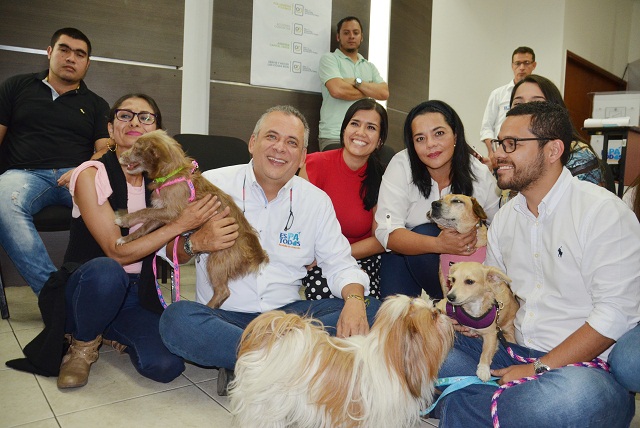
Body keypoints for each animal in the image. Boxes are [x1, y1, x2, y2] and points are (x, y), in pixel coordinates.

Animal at [115, 129, 268, 310]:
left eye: (137, 149)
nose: (120, 156)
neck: (171, 174)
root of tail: (256, 253)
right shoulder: (162, 215)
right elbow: (143, 228)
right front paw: (126, 238)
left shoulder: (171, 212)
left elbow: (144, 211)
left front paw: (123, 219)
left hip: (217, 260)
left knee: (223, 291)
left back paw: (206, 308)